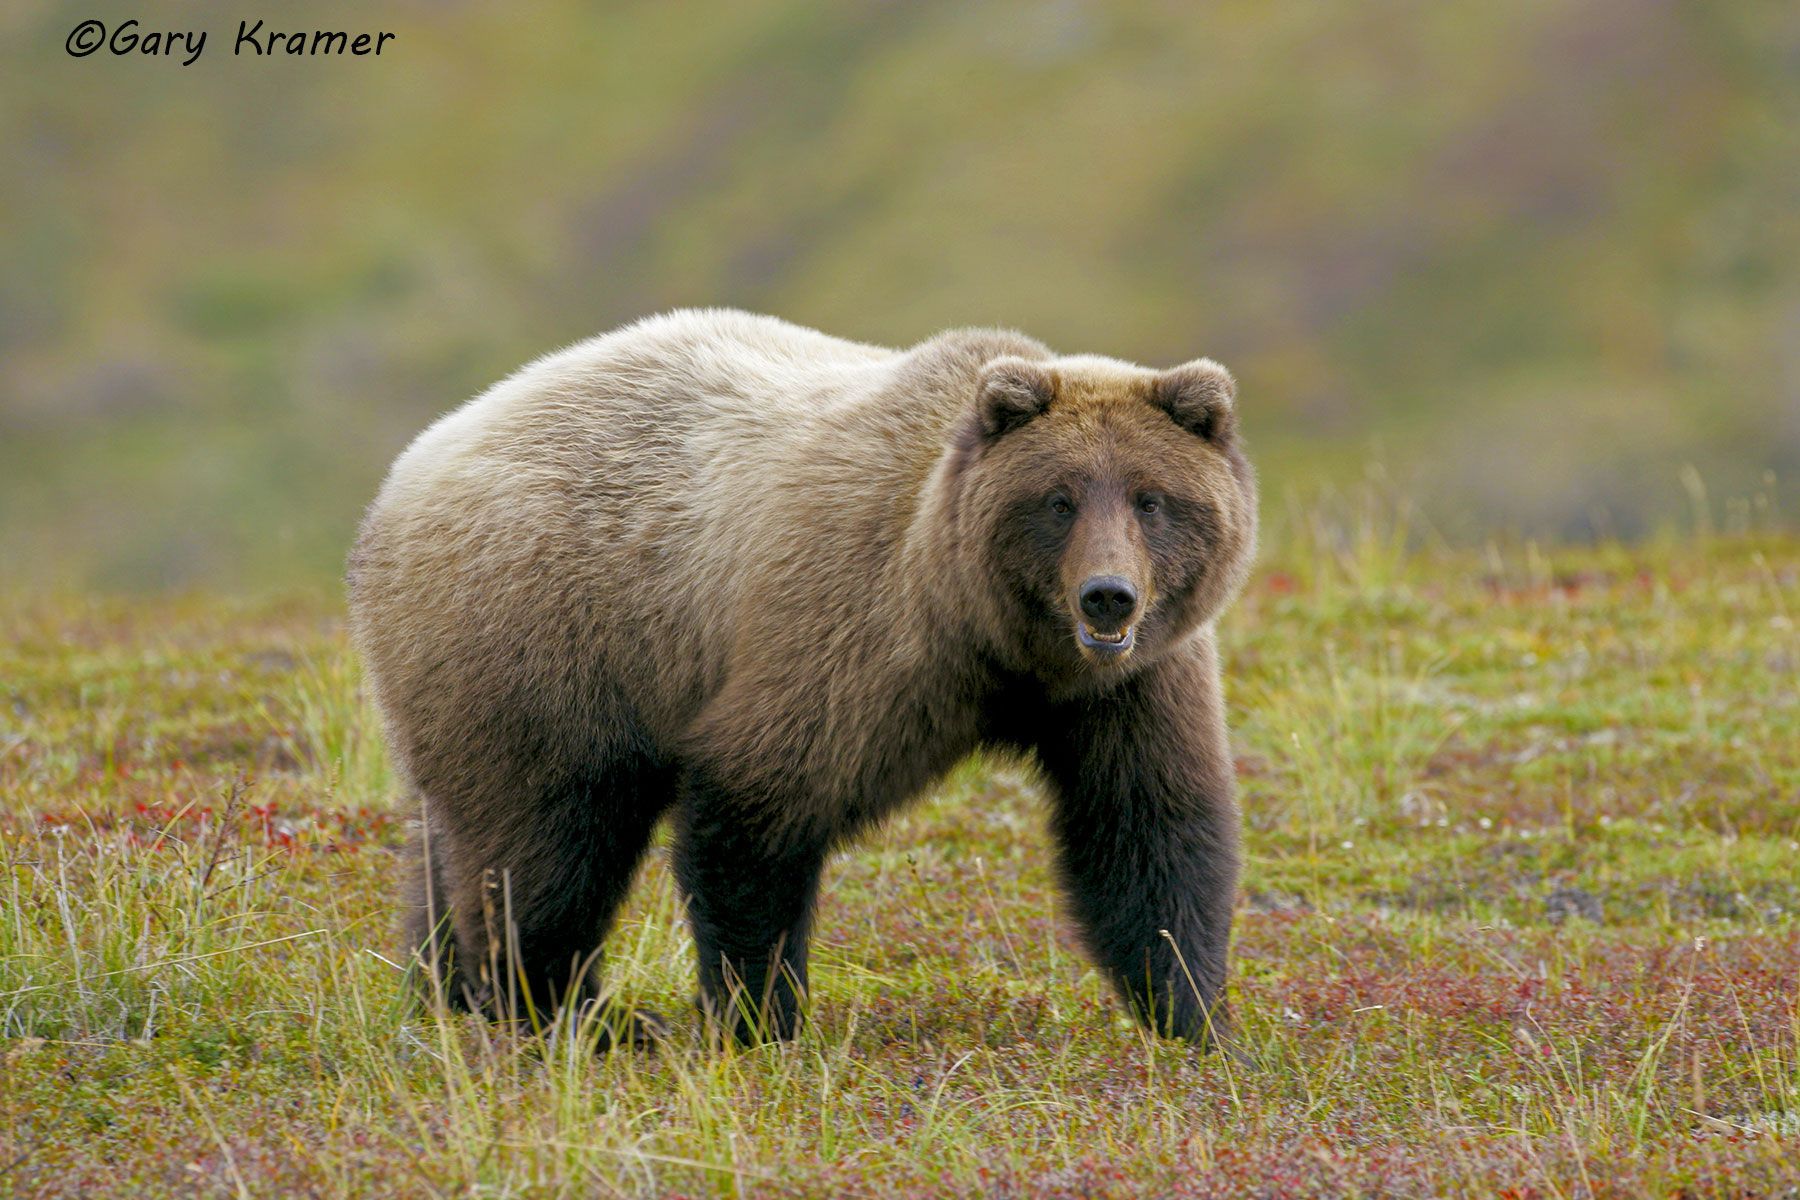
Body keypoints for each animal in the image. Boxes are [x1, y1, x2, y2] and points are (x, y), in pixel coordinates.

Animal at [347, 309, 1257, 1047]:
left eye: (1151, 497)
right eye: (1059, 498)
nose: (1108, 595)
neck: (998, 644)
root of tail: (407, 473)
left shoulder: (1134, 685)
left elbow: (1148, 830)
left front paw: (1197, 1020)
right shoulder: (849, 627)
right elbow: (758, 810)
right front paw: (762, 1018)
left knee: (452, 844)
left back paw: (446, 991)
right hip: (551, 640)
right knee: (543, 844)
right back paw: (567, 1012)